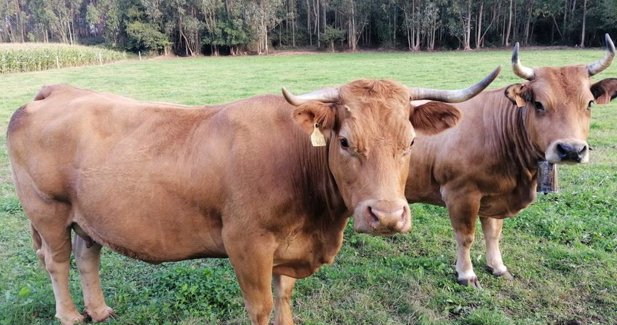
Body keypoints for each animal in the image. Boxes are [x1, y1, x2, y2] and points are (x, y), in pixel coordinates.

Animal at [6, 67, 496, 322]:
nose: (388, 217)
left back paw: (101, 310)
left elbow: (284, 297)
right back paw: (71, 315)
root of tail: (56, 91)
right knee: (57, 262)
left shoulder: (287, 249)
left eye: (411, 141)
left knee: (87, 257)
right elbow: (260, 307)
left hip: (87, 216)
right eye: (344, 141)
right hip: (47, 212)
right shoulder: (246, 244)